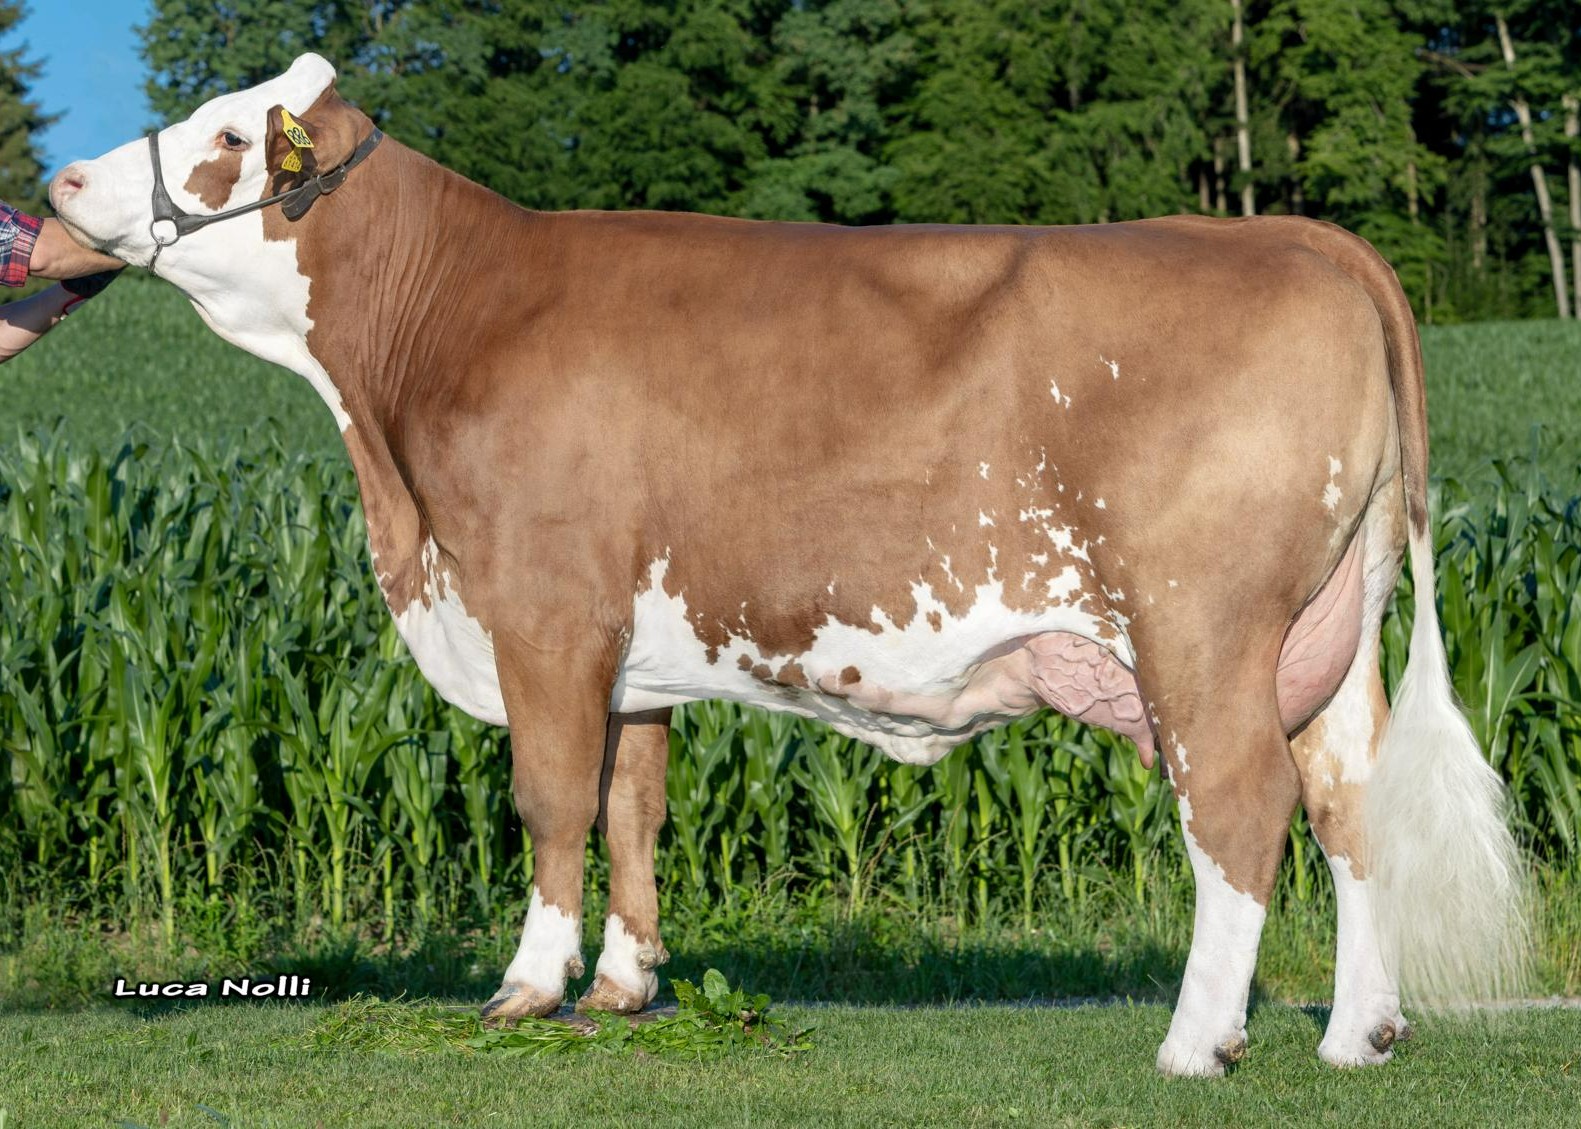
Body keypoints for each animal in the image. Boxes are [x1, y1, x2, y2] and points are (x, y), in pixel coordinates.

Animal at [49, 54, 1526, 1076]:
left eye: (226, 134)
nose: (57, 185)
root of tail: (1288, 231)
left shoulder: (542, 608)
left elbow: (550, 801)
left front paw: (527, 987)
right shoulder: (628, 650)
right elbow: (632, 804)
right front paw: (624, 986)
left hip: (1199, 625)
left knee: (1239, 801)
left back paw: (1194, 1041)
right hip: (1323, 632)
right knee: (1346, 802)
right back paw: (1355, 1034)